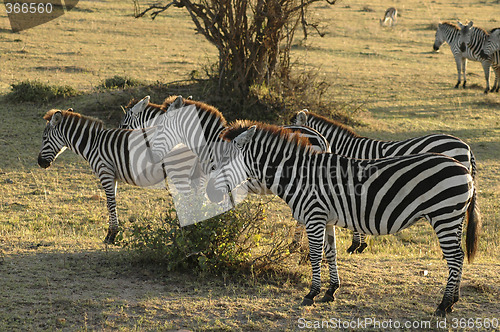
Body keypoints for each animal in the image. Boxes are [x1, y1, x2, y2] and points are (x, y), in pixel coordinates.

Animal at [37, 107, 174, 243]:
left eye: (44, 138)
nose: (40, 163)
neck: (93, 144)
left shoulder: (105, 172)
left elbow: (110, 203)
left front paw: (112, 235)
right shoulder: (113, 176)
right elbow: (110, 203)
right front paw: (110, 233)